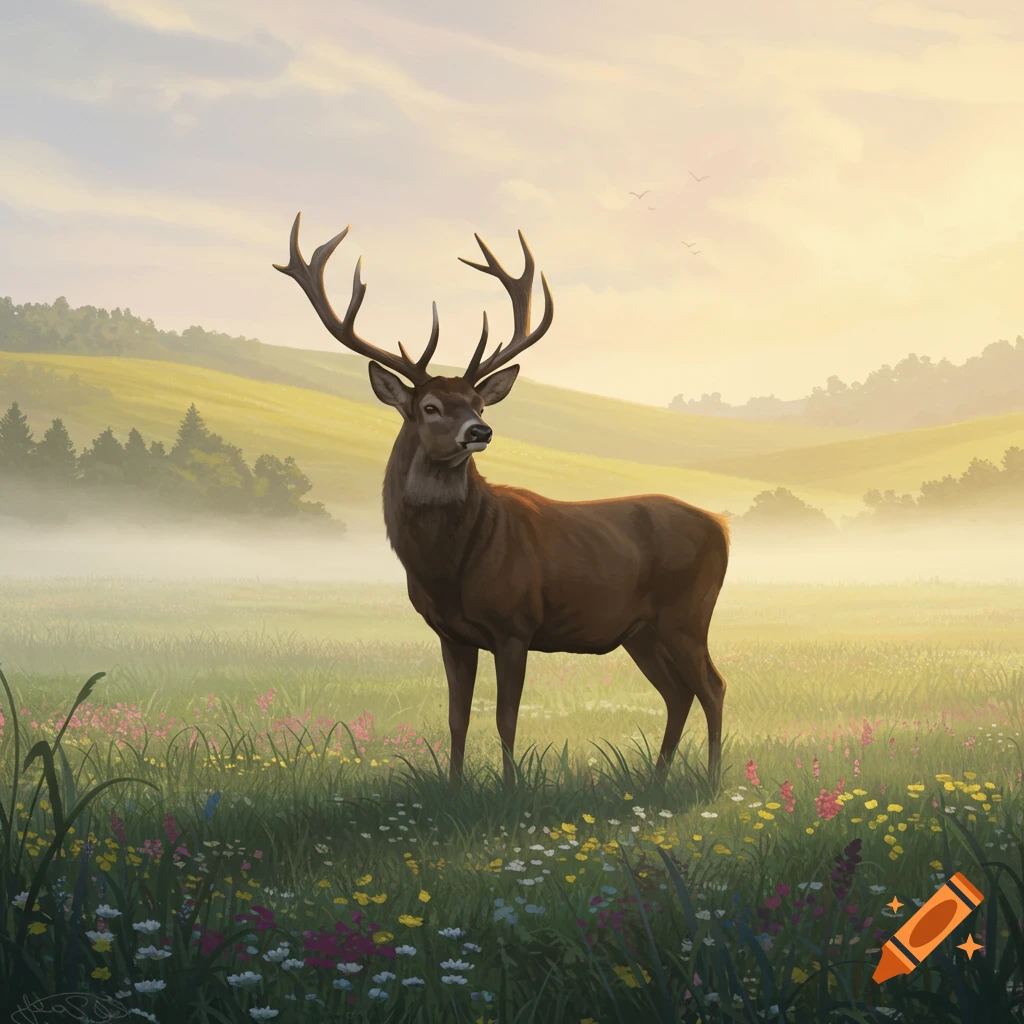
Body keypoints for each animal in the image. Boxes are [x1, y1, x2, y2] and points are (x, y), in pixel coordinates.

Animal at [274, 213, 731, 788]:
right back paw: (656, 779)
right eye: (429, 406)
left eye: (477, 402)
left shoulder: (516, 623)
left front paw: (512, 790)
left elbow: (506, 716)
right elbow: (457, 716)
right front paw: (453, 788)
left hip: (687, 612)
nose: (479, 431)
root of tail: (722, 527)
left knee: (712, 686)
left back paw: (711, 781)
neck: (448, 568)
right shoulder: (450, 633)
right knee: (678, 693)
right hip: (640, 629)